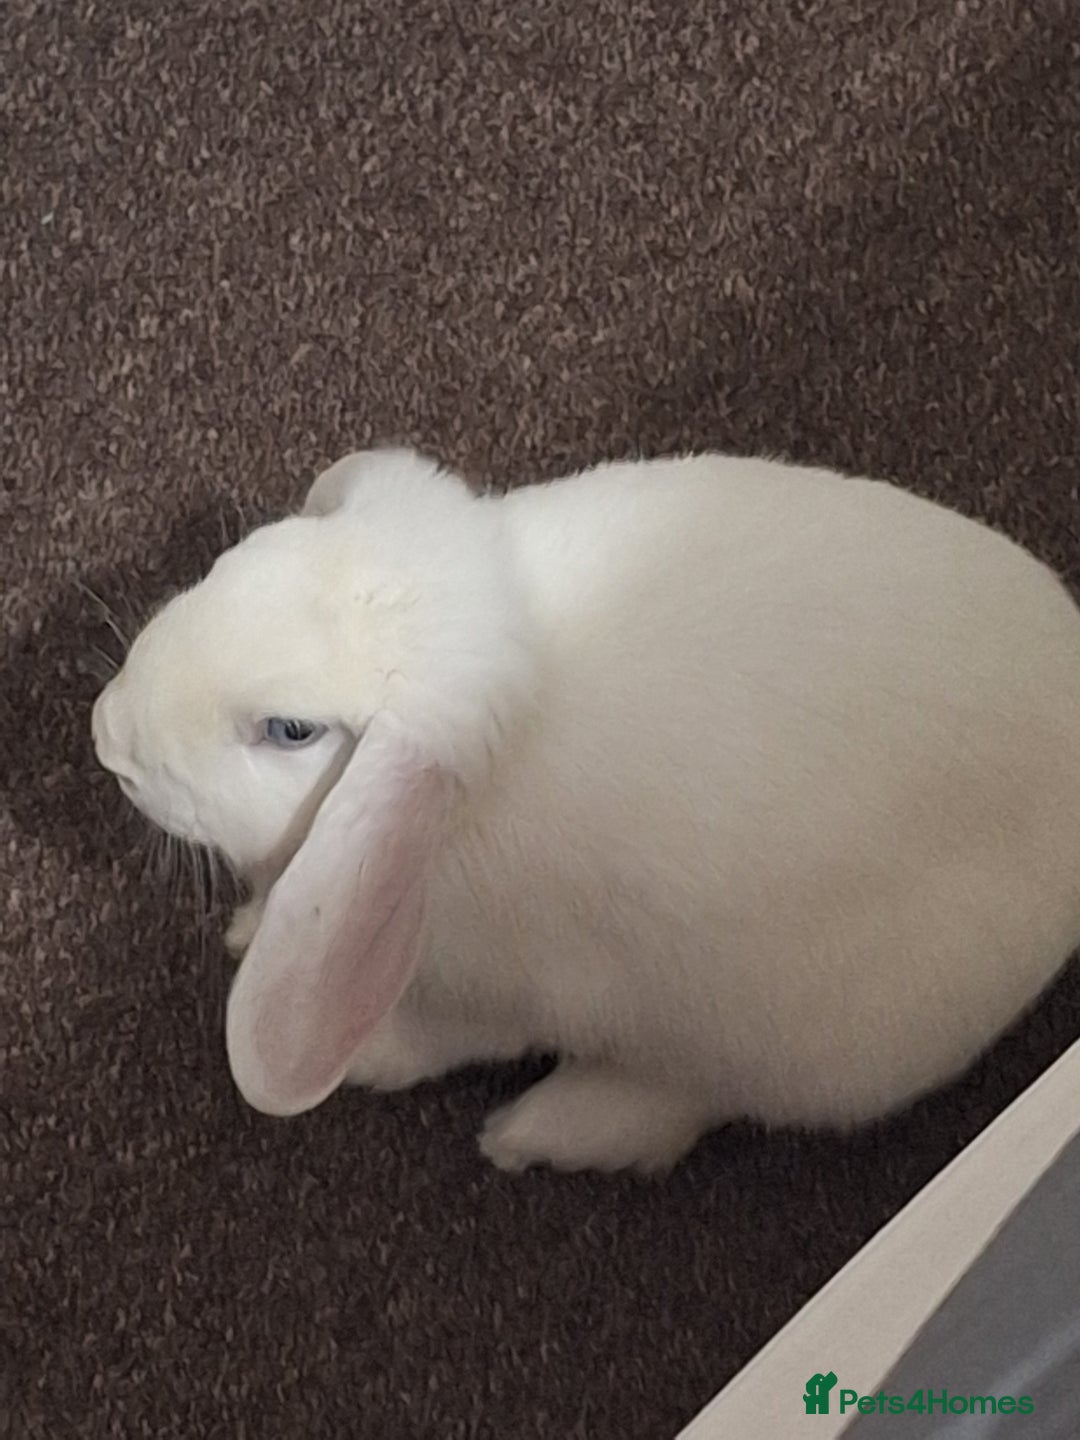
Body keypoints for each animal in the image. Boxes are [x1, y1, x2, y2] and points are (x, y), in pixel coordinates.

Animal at [91, 447, 1080, 1174]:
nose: (109, 739)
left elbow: (443, 1037)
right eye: (229, 562)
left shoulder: (505, 988)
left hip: (810, 1039)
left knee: (684, 1102)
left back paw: (536, 1133)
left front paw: (369, 1058)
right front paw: (251, 927)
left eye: (290, 730)